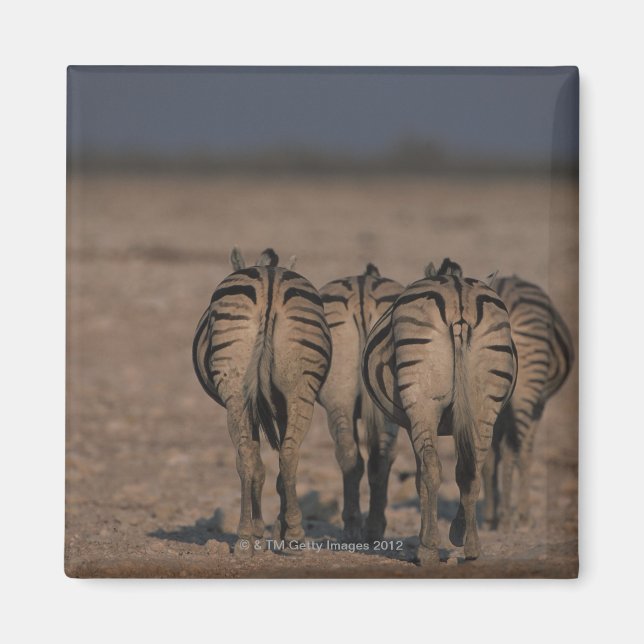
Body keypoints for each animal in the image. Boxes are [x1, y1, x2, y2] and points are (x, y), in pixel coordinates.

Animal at [192, 247, 331, 555]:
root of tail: (270, 281)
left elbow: (260, 464)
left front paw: (263, 530)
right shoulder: (266, 404)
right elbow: (266, 465)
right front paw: (269, 530)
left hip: (239, 391)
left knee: (253, 456)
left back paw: (254, 535)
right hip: (297, 391)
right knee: (285, 455)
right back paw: (289, 535)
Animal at [317, 263, 404, 542]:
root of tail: (362, 293)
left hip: (340, 402)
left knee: (351, 454)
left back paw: (354, 526)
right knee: (378, 457)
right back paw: (369, 528)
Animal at [362, 258, 517, 564]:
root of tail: (459, 299)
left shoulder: (411, 422)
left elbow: (420, 477)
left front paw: (428, 538)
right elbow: (461, 469)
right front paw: (457, 532)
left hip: (422, 402)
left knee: (433, 468)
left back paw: (428, 548)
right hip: (484, 405)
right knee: (473, 469)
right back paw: (471, 547)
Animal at [482, 275, 574, 531]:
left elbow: (495, 452)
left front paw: (494, 510)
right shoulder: (539, 407)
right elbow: (525, 452)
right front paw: (523, 513)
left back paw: (491, 516)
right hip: (528, 389)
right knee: (513, 449)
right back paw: (508, 517)